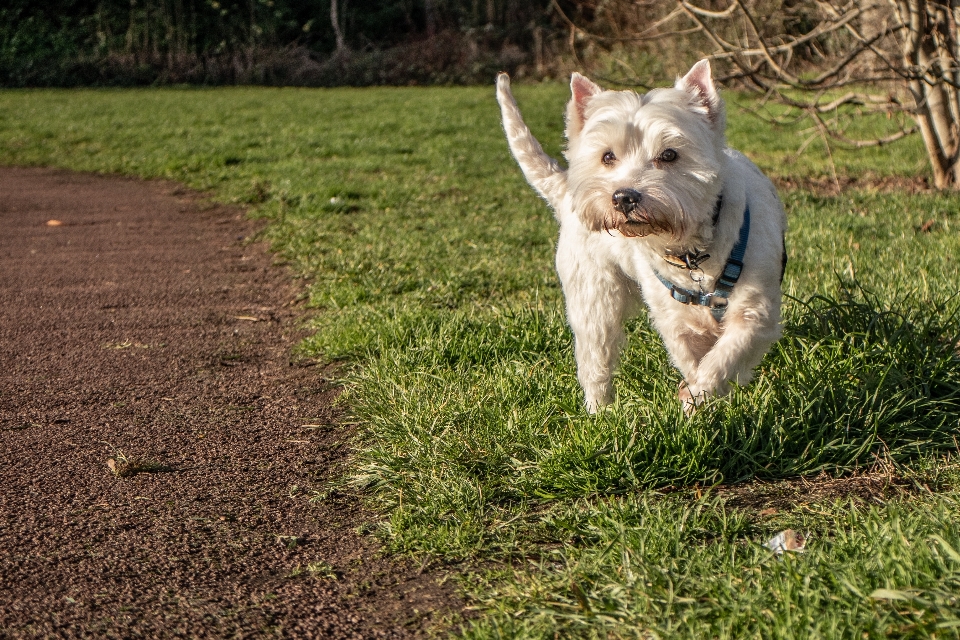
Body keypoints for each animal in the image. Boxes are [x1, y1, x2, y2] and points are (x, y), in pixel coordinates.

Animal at [498, 58, 784, 410]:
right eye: (607, 156)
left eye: (669, 154)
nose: (623, 197)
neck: (692, 252)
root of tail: (566, 192)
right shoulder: (675, 320)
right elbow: (693, 360)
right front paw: (696, 399)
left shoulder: (754, 311)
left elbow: (722, 358)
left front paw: (699, 396)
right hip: (595, 297)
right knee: (595, 358)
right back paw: (600, 412)